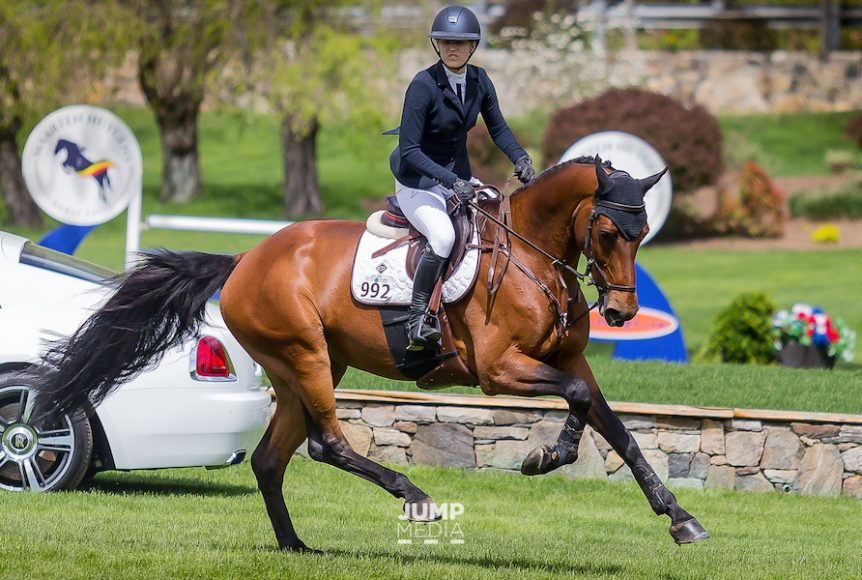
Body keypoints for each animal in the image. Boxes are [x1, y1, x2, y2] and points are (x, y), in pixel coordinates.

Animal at [37, 156, 708, 552]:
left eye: (643, 234)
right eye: (608, 232)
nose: (620, 314)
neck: (534, 256)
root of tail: (246, 259)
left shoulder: (568, 361)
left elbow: (611, 423)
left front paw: (679, 516)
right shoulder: (498, 370)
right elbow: (575, 401)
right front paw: (549, 455)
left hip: (306, 366)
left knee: (271, 459)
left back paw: (295, 546)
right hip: (305, 355)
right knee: (327, 443)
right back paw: (416, 498)